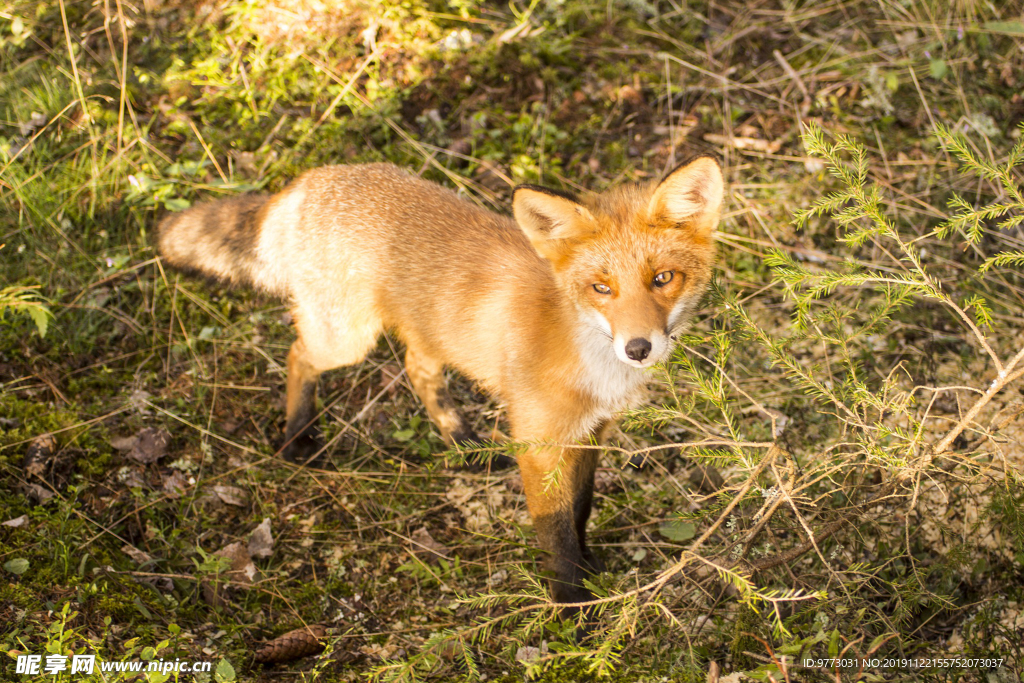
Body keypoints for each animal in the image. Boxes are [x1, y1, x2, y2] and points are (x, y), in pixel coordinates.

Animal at [155, 158, 724, 618]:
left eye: (663, 278)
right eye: (601, 288)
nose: (638, 348)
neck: (586, 353)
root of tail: (303, 182)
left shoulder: (589, 432)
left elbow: (580, 510)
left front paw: (589, 566)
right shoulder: (539, 441)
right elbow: (555, 529)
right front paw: (570, 605)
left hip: (424, 333)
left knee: (415, 368)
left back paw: (459, 440)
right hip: (347, 341)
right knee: (299, 357)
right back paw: (297, 436)